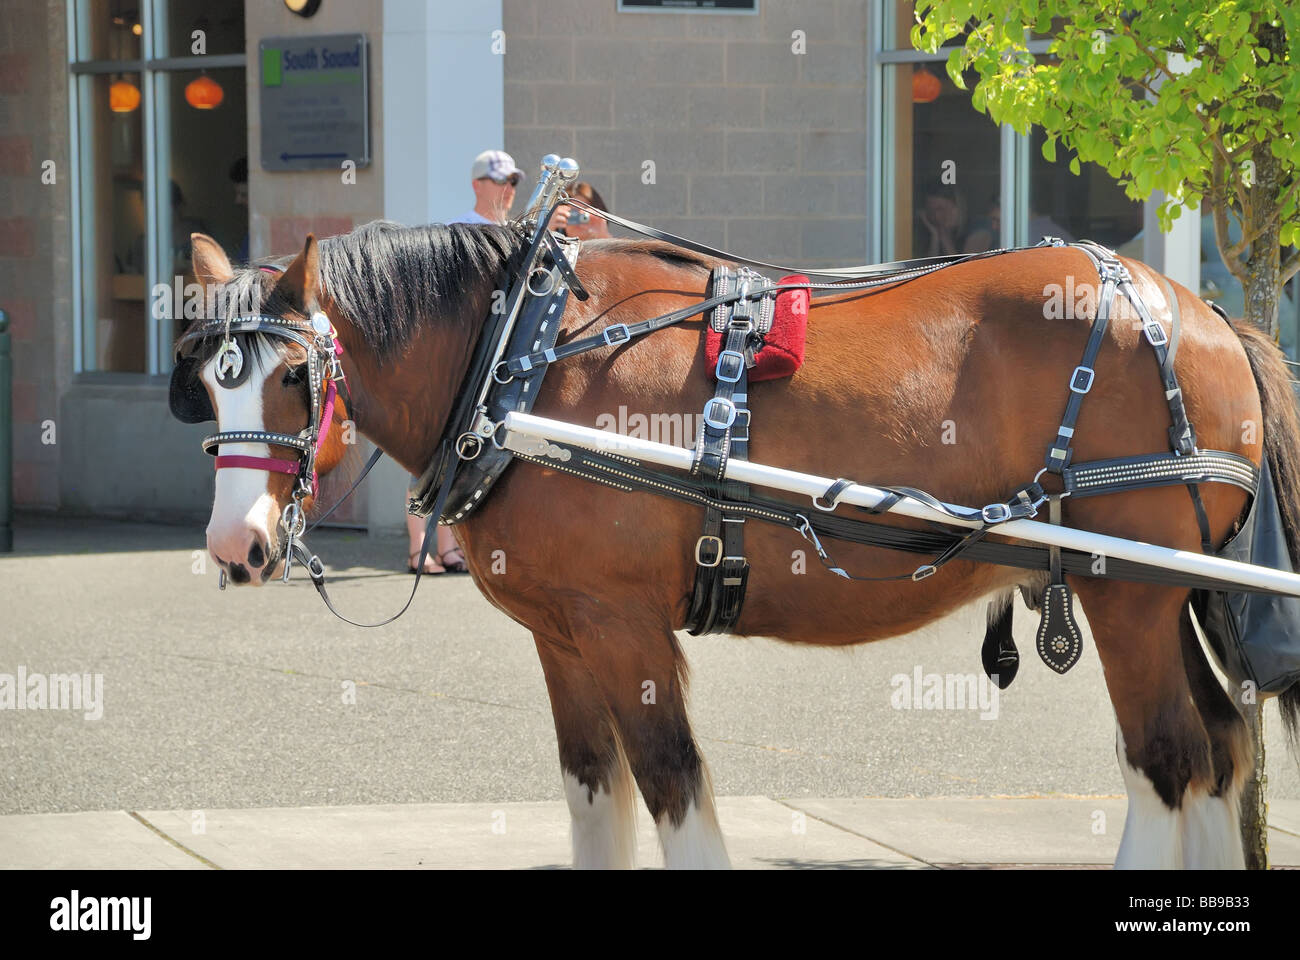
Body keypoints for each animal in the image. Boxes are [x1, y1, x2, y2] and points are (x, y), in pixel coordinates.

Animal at [178, 218, 1294, 868]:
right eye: (207, 379)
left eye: (295, 376)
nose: (235, 548)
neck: (521, 357)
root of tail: (1202, 315)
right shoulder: (562, 634)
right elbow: (594, 794)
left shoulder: (622, 626)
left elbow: (671, 781)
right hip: (1162, 594)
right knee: (1219, 751)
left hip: (1125, 593)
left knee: (1165, 760)